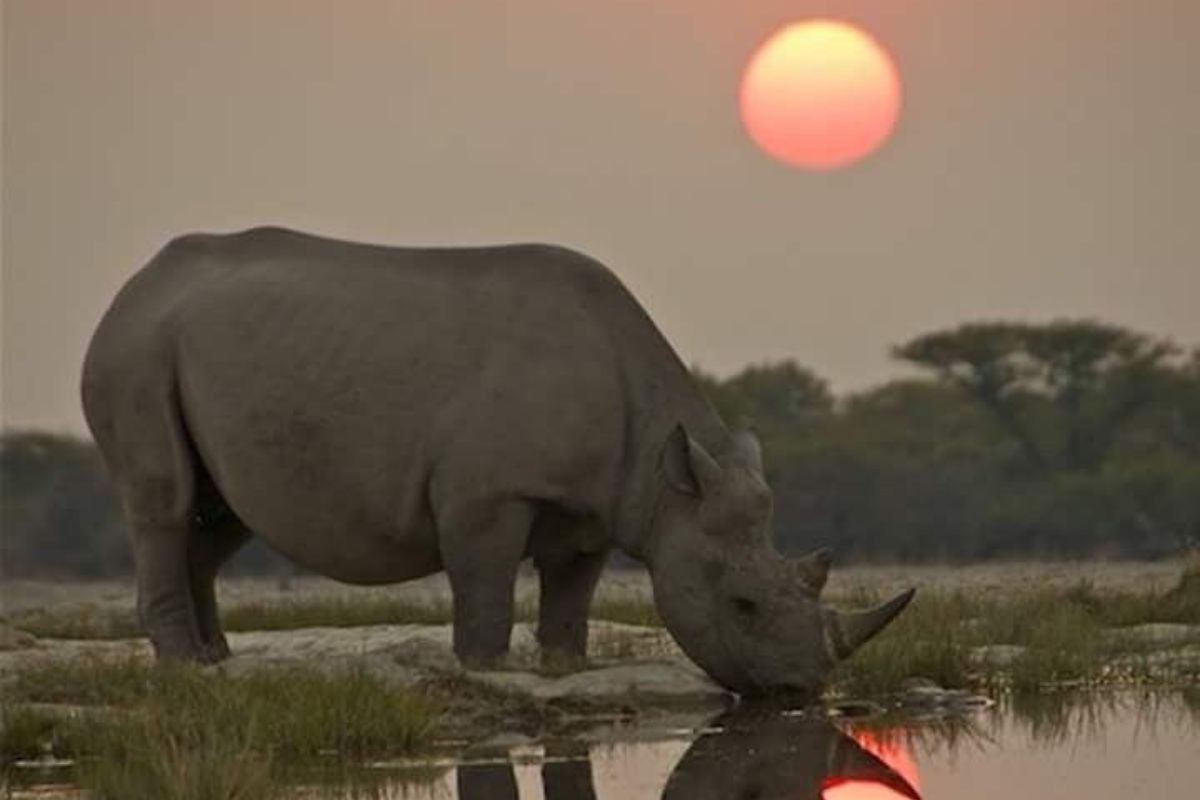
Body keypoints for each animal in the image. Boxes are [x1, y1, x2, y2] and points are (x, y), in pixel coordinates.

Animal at [82, 225, 907, 695]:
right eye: (742, 605)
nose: (804, 690)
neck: (663, 475)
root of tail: (133, 287)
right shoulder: (487, 495)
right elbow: (486, 594)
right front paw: (488, 673)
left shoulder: (601, 504)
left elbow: (570, 600)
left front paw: (565, 673)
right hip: (135, 354)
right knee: (165, 503)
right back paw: (186, 670)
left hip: (194, 353)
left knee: (221, 514)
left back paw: (217, 661)